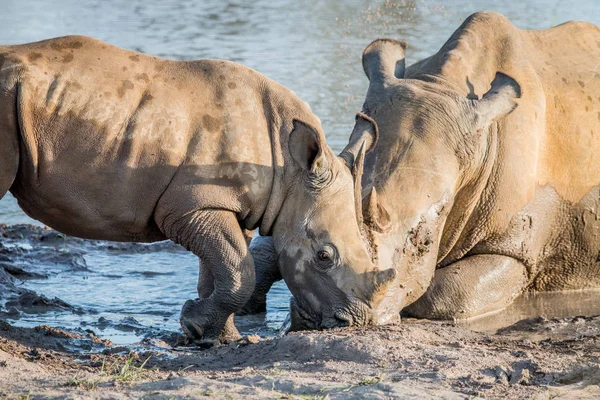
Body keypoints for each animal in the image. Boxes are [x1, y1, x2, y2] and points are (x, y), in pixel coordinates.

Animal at [0, 36, 390, 346]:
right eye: (324, 256)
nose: (350, 322)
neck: (291, 170)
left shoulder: (224, 206)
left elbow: (224, 269)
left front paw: (212, 336)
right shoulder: (191, 208)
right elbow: (239, 272)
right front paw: (198, 326)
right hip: (6, 96)